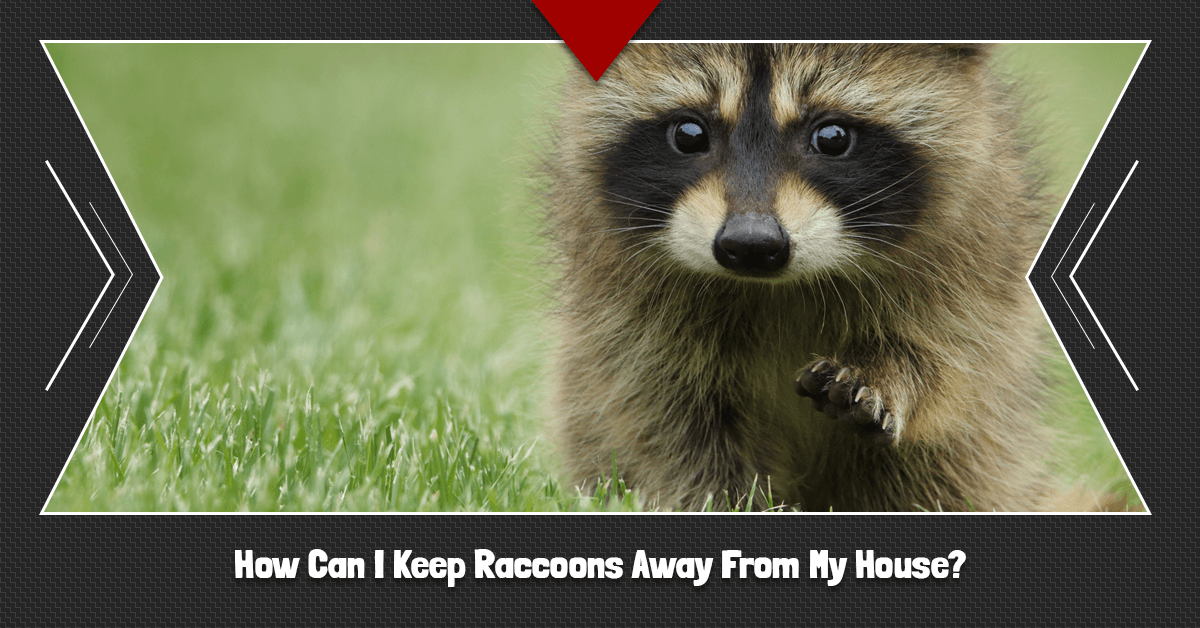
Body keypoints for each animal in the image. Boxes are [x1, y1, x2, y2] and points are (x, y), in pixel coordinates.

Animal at [545, 43, 1112, 511]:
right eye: (689, 134)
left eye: (832, 137)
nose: (751, 245)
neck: (776, 288)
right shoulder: (627, 304)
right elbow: (663, 418)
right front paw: (723, 502)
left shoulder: (976, 252)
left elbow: (953, 358)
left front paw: (890, 370)